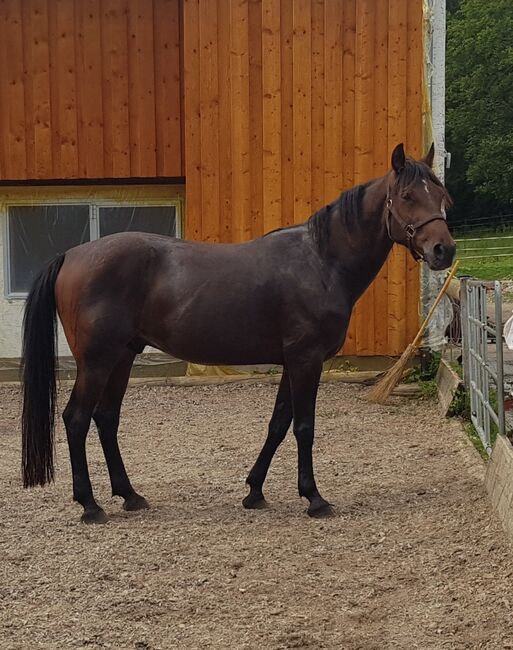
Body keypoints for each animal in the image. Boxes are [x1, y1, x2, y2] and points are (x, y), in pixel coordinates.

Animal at [20, 143, 454, 520]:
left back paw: (130, 495)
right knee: (77, 418)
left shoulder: (292, 361)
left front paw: (255, 492)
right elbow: (304, 427)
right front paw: (314, 498)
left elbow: (278, 425)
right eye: (408, 196)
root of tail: (72, 255)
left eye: (441, 195)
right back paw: (90, 505)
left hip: (123, 357)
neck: (321, 261)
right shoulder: (306, 360)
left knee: (106, 418)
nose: (444, 251)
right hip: (96, 361)